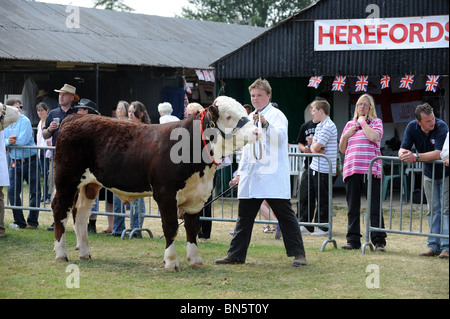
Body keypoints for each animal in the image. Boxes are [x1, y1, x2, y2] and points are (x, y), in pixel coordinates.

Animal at [51, 96, 260, 272]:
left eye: (244, 112)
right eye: (228, 116)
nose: (257, 131)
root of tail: (74, 117)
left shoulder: (197, 197)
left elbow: (192, 228)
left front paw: (195, 260)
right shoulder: (165, 193)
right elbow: (171, 227)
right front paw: (171, 262)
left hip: (90, 185)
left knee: (81, 214)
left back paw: (85, 252)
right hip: (66, 179)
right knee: (60, 209)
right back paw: (61, 253)